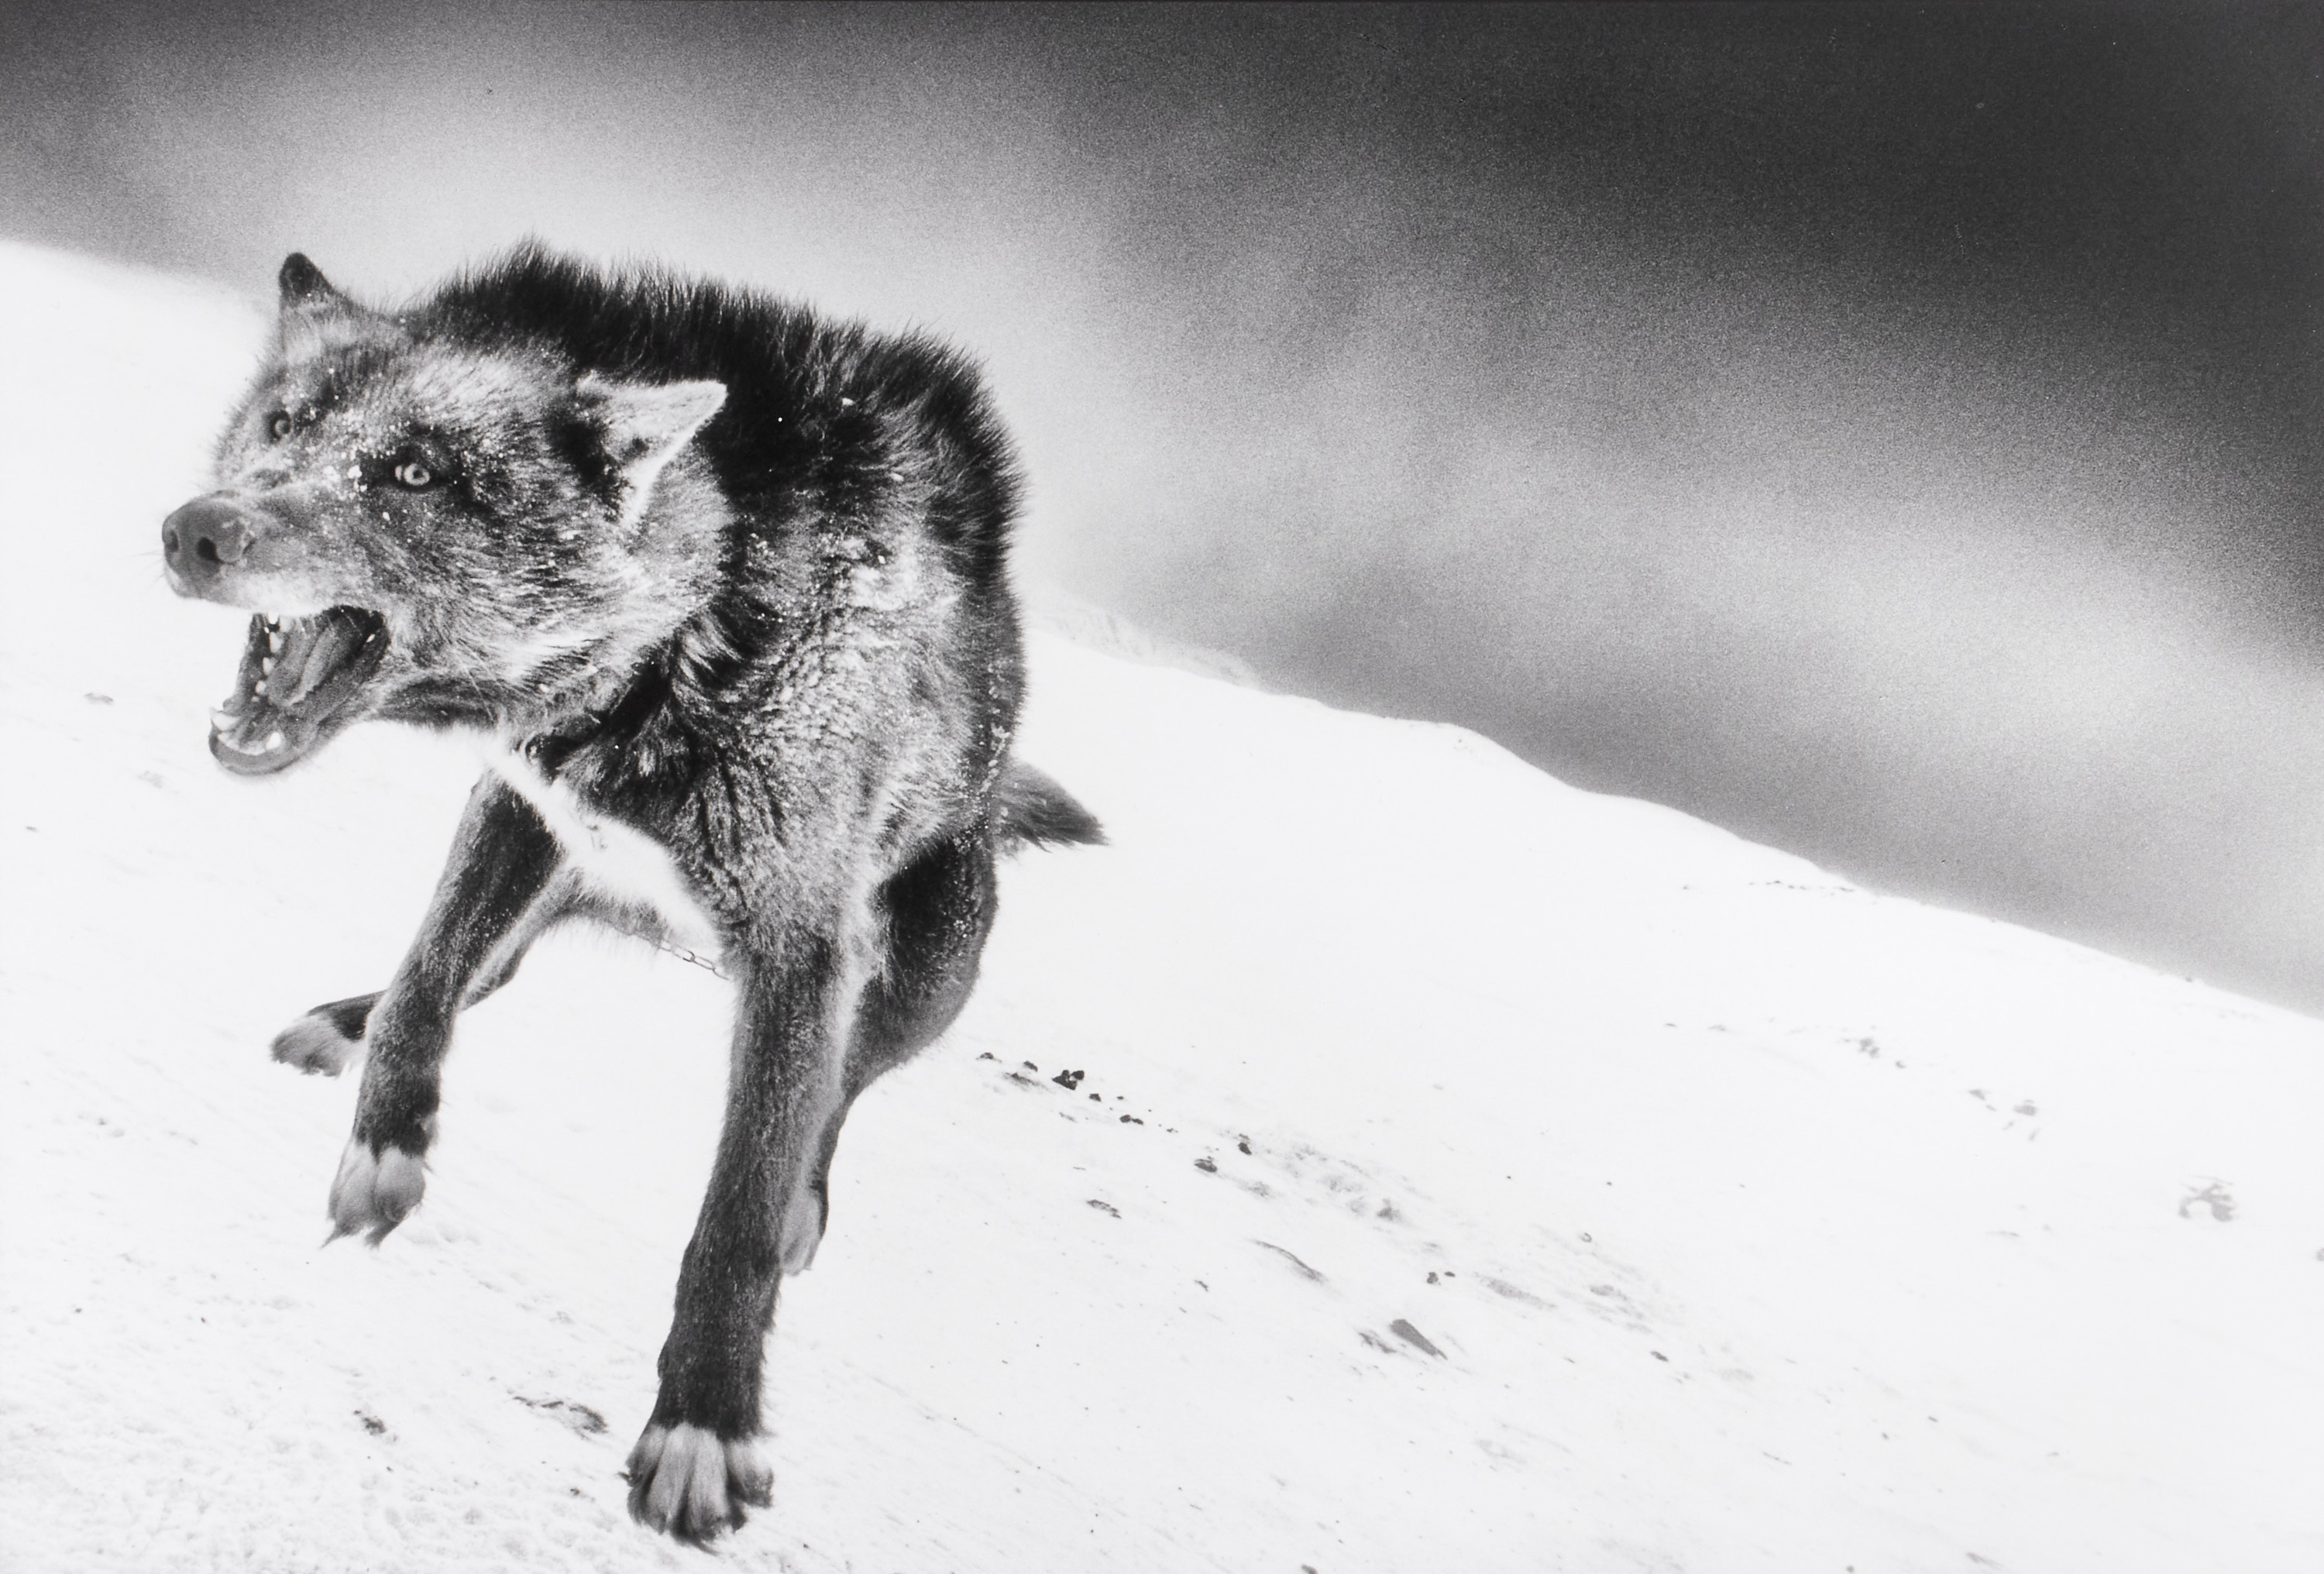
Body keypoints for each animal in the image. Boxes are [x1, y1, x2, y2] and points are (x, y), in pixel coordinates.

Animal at [159, 247, 1101, 1543]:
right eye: (285, 425)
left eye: (417, 473)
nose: (194, 532)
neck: (695, 638)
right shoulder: (518, 800)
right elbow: (423, 988)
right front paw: (382, 1148)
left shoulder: (802, 953)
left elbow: (737, 1216)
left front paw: (706, 1422)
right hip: (549, 871)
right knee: (475, 971)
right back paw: (347, 1021)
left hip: (922, 976)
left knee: (841, 1089)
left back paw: (808, 1198)